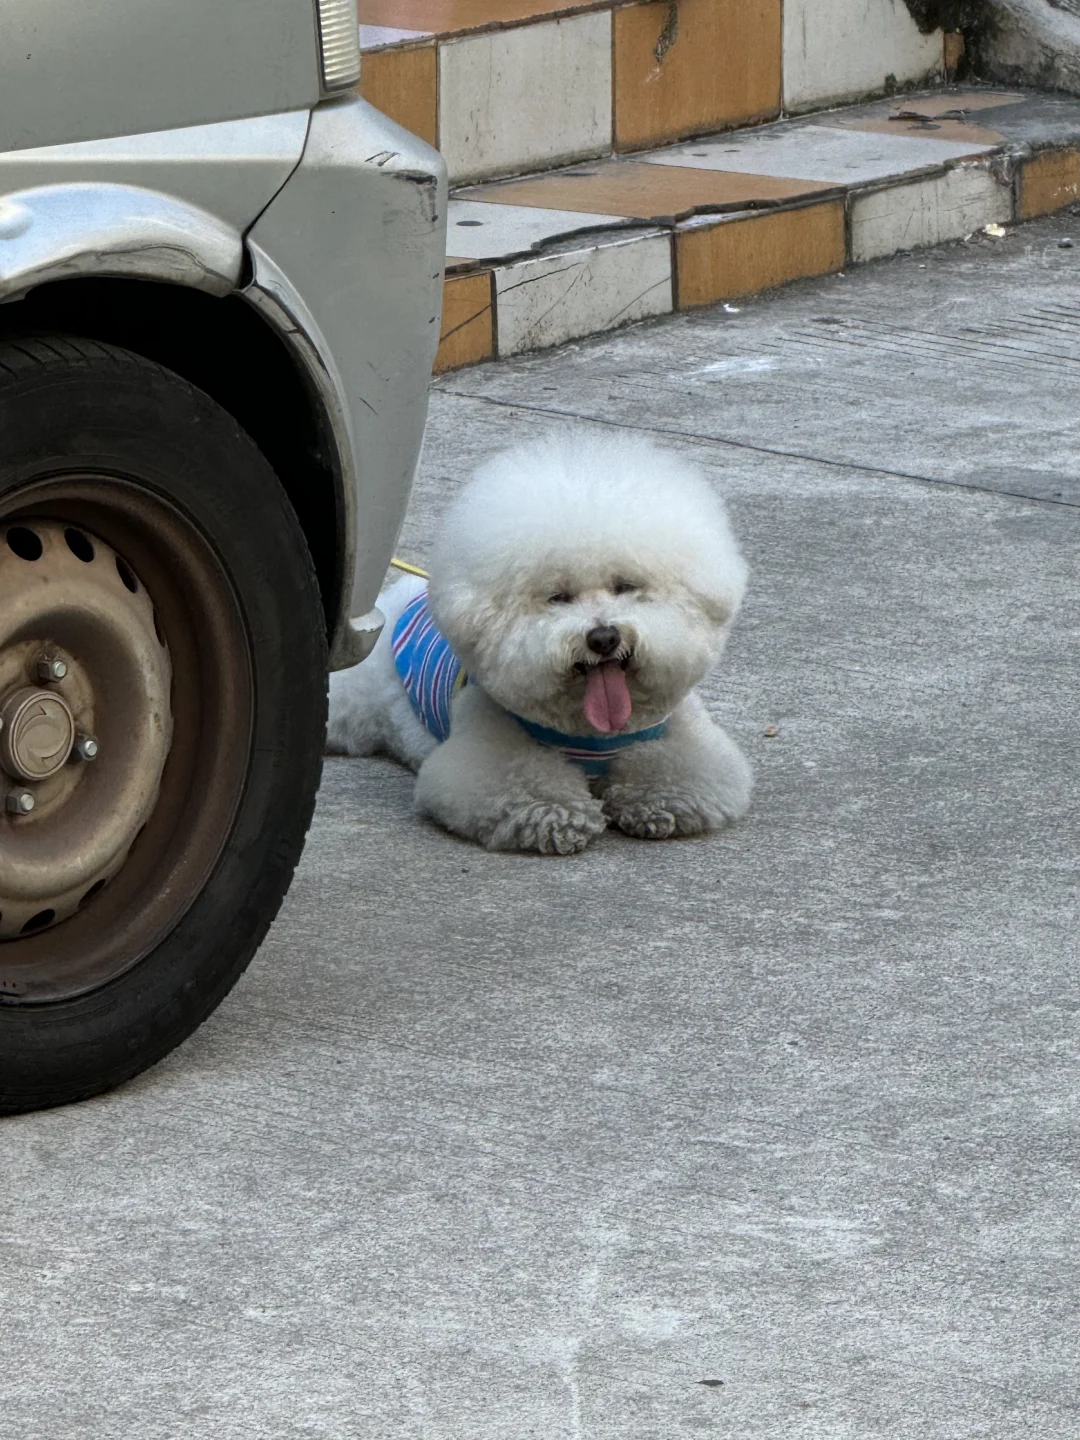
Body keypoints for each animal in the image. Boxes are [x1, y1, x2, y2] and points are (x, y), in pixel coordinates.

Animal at [328, 426, 754, 852]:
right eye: (559, 597)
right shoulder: (483, 754)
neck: (591, 733)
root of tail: (406, 592)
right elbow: (526, 785)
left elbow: (677, 773)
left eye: (625, 586)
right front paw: (556, 813)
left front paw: (657, 800)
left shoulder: (692, 745)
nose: (603, 638)